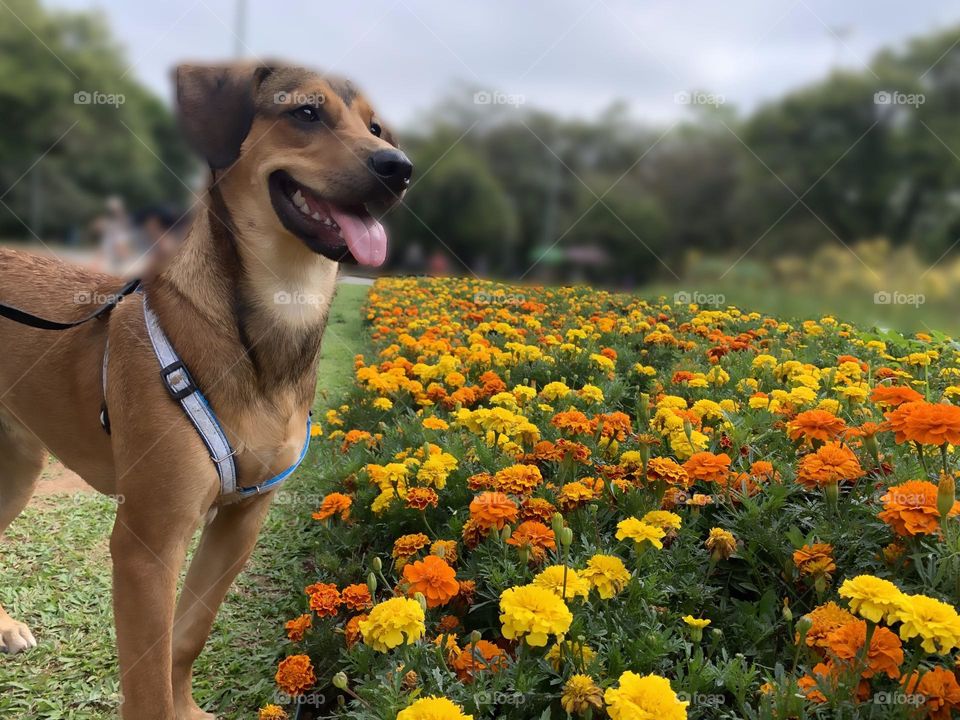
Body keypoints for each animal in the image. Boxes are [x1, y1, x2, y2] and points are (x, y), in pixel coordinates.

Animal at [0, 63, 408, 720]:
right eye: (306, 113)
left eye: (375, 128)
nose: (399, 167)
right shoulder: (147, 543)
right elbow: (146, 680)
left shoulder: (241, 520)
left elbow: (187, 636)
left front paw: (186, 707)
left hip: (17, 467)